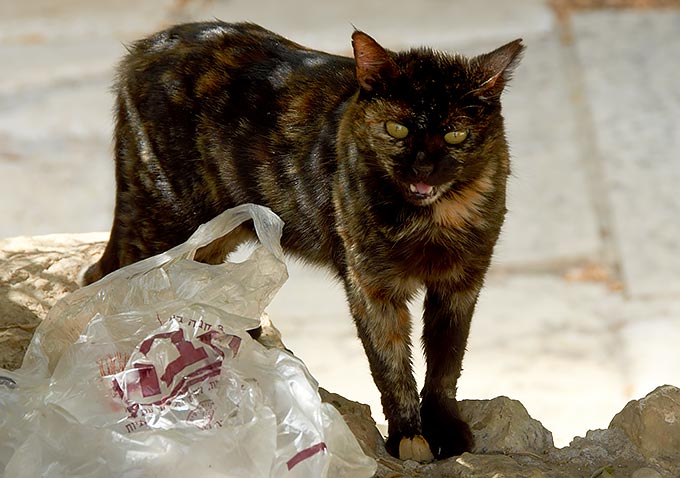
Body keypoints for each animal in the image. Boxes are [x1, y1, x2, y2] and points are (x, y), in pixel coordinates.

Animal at [82, 23, 524, 464]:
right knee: (108, 281)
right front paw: (408, 436)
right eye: (397, 129)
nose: (423, 168)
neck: (433, 221)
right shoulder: (370, 287)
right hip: (163, 218)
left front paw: (446, 429)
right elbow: (391, 363)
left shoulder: (461, 285)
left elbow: (447, 359)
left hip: (218, 229)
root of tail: (147, 46)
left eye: (455, 135)